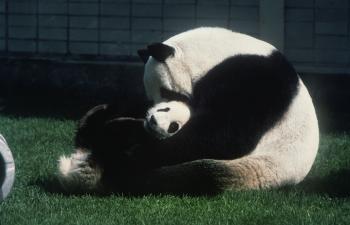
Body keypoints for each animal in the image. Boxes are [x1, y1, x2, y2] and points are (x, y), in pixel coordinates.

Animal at [58, 27, 320, 194]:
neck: (216, 52)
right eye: (154, 97)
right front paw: (111, 118)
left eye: (167, 91)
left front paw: (127, 139)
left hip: (257, 166)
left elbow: (224, 134)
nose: (152, 119)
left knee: (197, 175)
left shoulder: (253, 78)